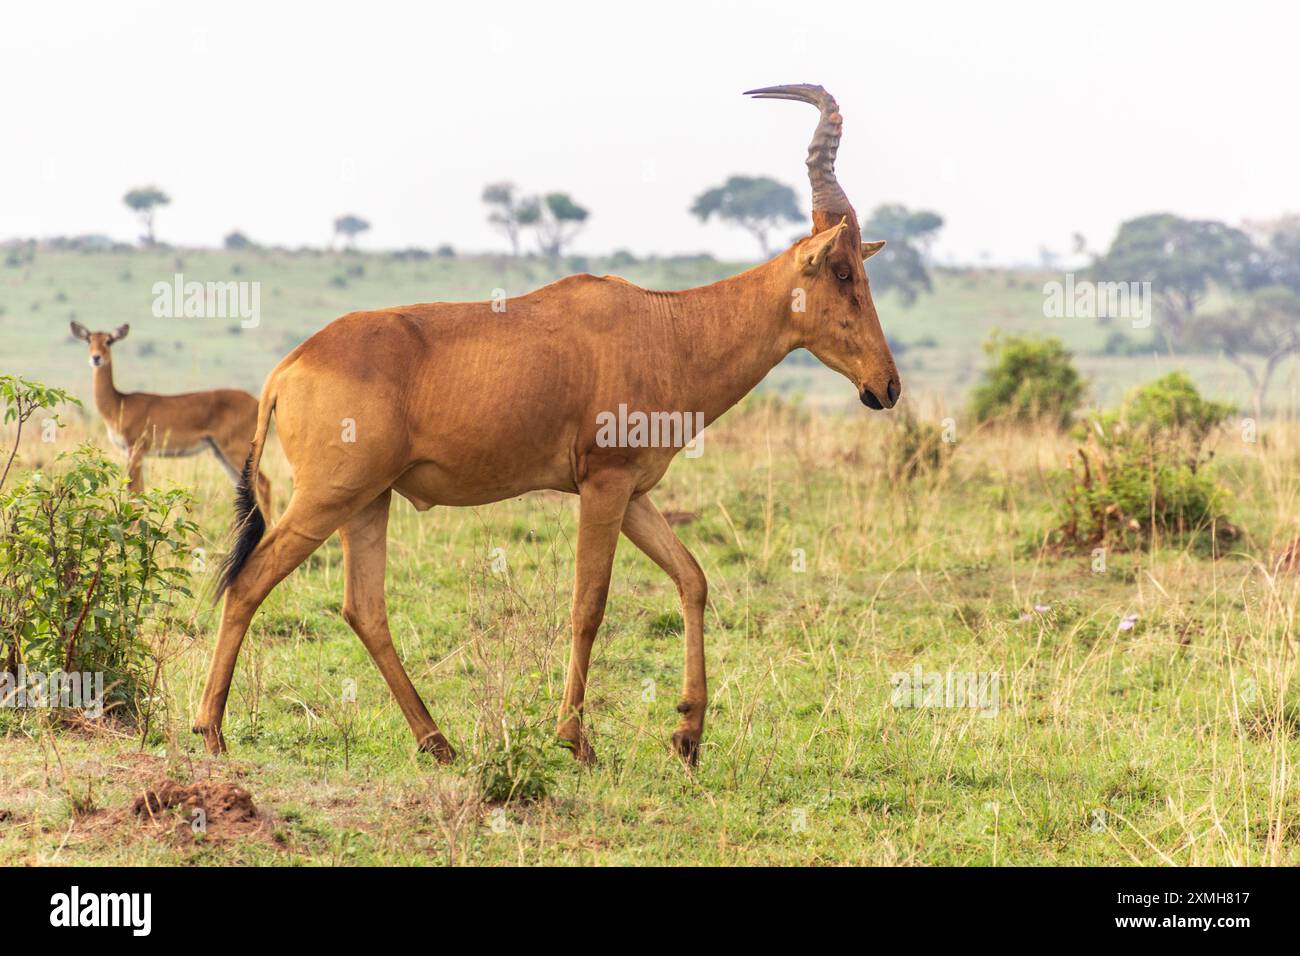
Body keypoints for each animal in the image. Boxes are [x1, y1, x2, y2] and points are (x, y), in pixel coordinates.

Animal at [70, 321, 271, 504]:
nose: (96, 358)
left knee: (263, 483)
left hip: (236, 448)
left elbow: (135, 491)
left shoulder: (136, 450)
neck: (119, 403)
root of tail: (258, 401)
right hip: (219, 452)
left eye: (109, 341)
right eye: (89, 340)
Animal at [197, 82, 899, 770]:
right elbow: (589, 603)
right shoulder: (604, 486)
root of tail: (289, 367)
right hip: (328, 495)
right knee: (251, 579)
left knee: (363, 608)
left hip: (368, 501)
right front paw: (576, 740)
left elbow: (693, 579)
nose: (886, 387)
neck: (663, 326)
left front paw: (687, 735)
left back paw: (437, 741)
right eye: (842, 271)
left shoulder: (633, 493)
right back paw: (212, 730)